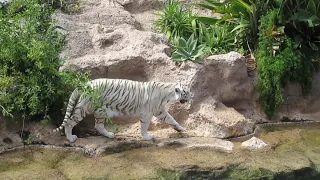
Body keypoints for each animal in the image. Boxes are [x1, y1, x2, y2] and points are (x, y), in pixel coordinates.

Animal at [53, 78, 191, 143]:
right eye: (187, 92)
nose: (192, 96)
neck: (168, 93)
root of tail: (87, 83)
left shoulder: (160, 111)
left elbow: (171, 119)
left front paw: (180, 129)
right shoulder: (147, 113)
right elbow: (144, 126)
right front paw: (147, 137)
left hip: (101, 111)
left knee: (98, 126)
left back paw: (110, 135)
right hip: (84, 107)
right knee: (69, 122)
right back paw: (70, 138)